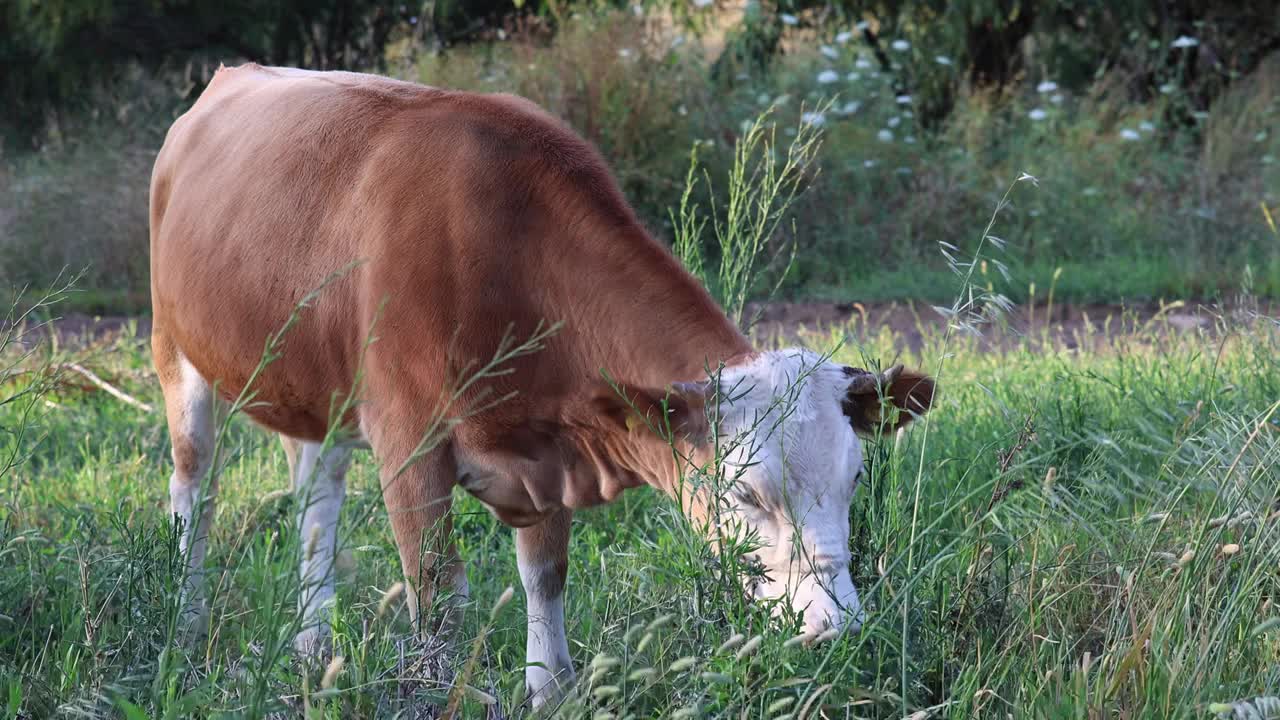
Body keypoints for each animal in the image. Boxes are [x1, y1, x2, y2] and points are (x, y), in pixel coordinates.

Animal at [149, 64, 936, 702]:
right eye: (746, 495)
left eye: (855, 479)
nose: (837, 628)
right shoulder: (409, 444)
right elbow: (437, 598)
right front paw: (441, 695)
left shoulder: (554, 443)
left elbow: (546, 575)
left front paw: (551, 688)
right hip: (175, 351)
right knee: (196, 494)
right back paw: (184, 628)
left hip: (317, 391)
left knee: (317, 505)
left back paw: (312, 646)